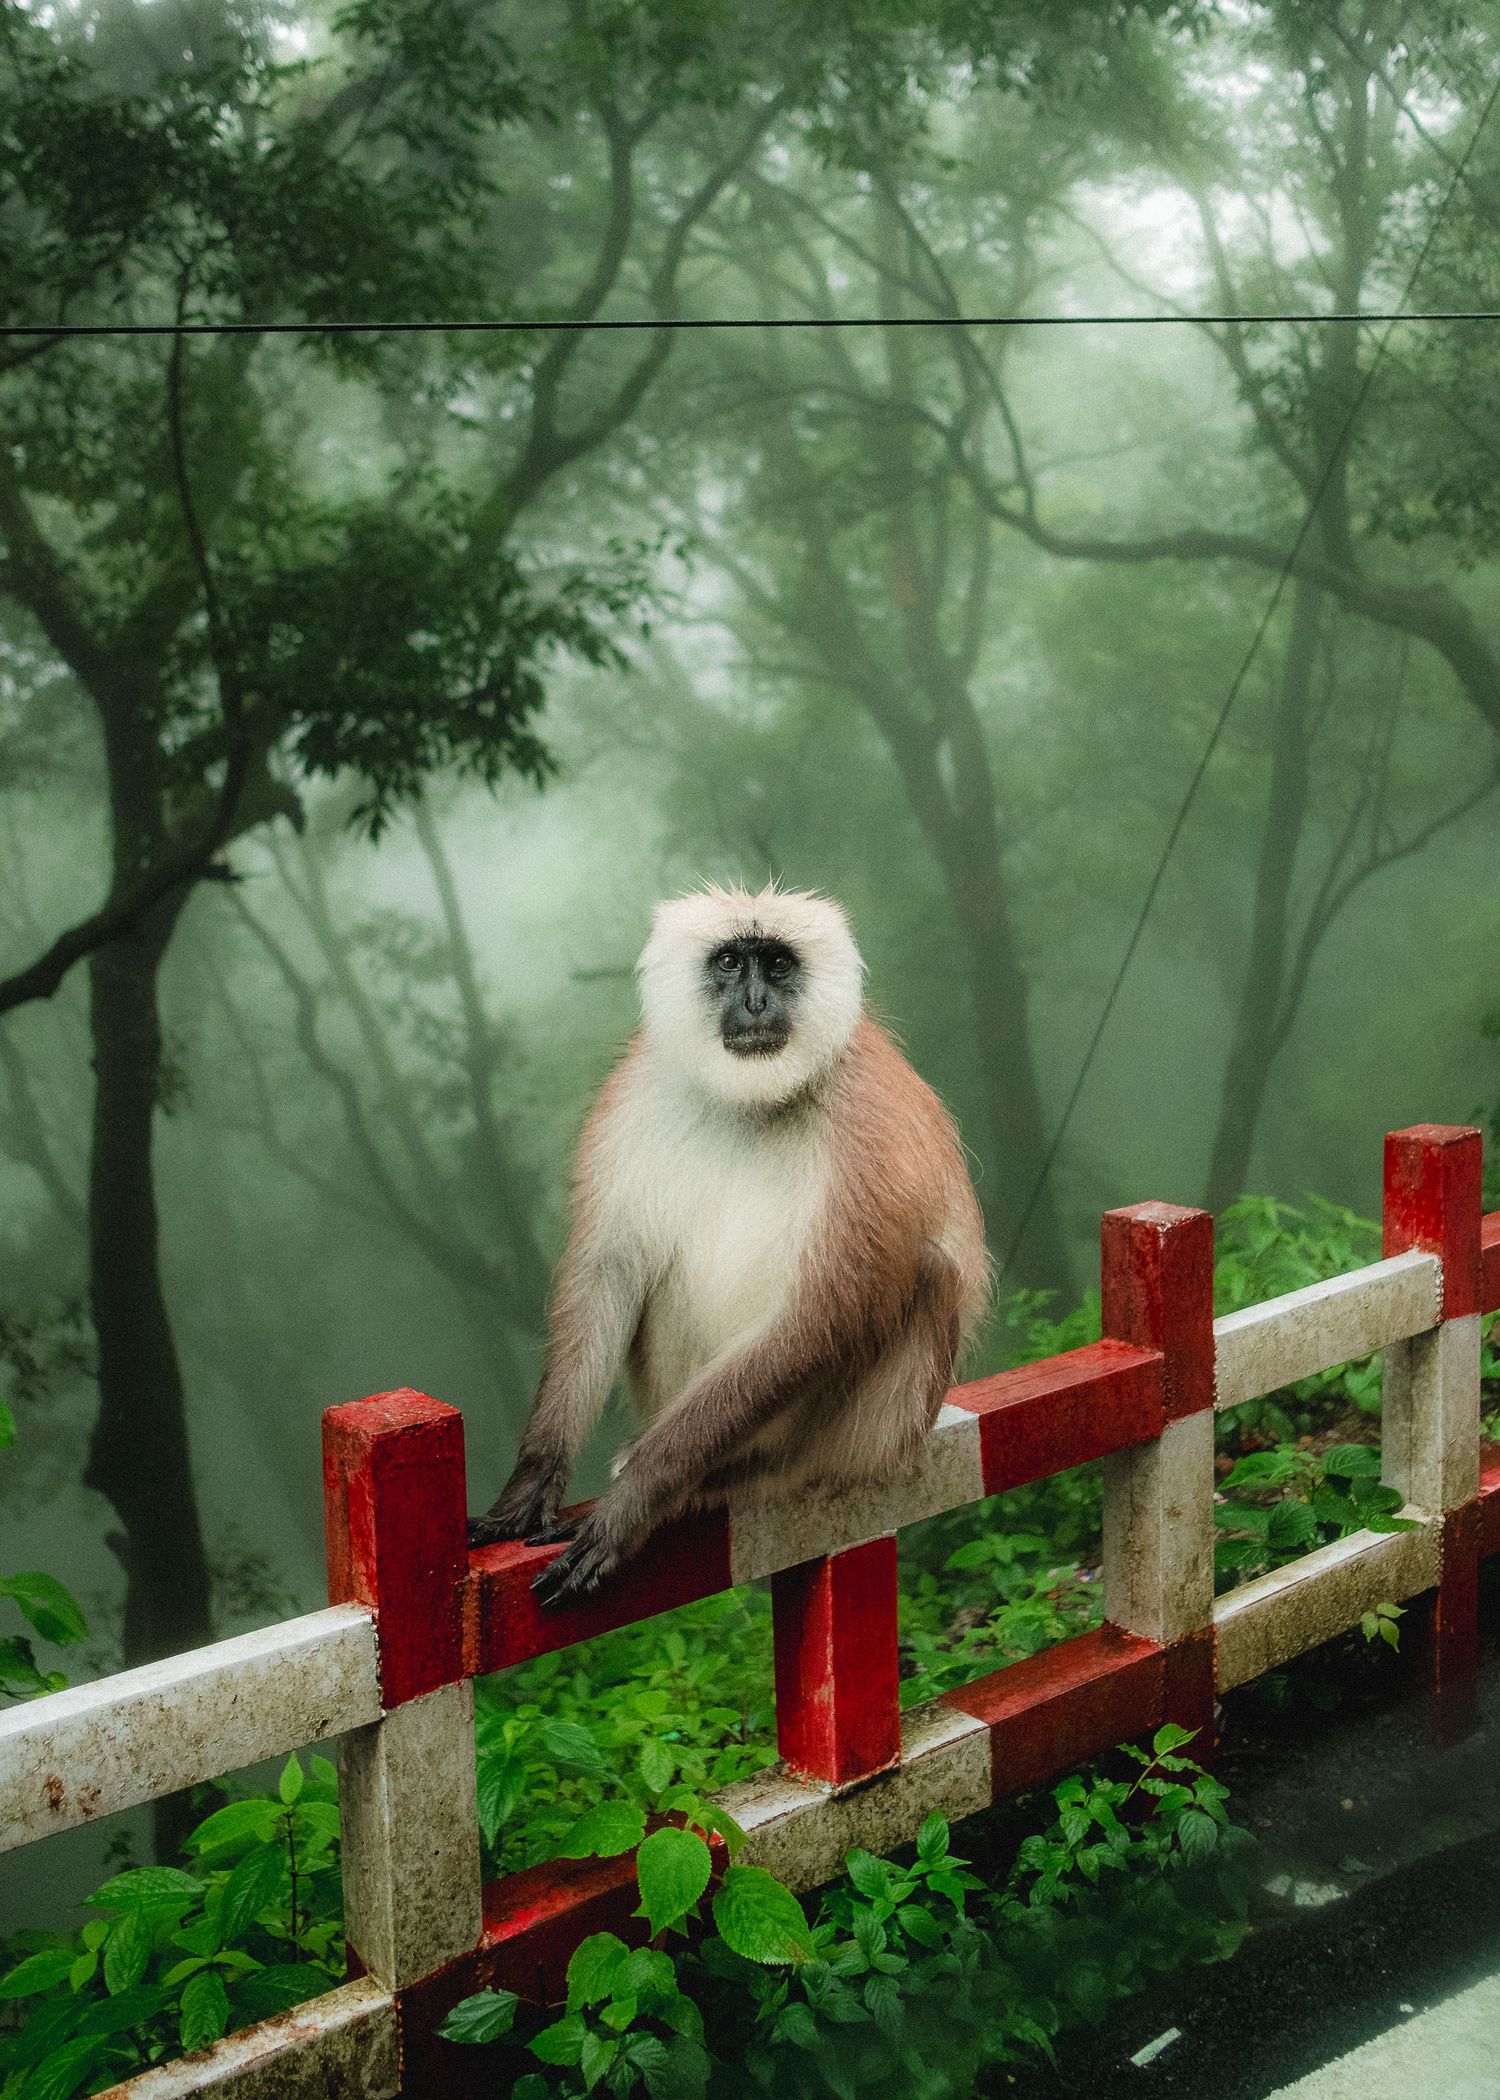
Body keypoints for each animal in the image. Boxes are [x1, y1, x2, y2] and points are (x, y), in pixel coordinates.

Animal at [468, 884, 990, 1607]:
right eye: (729, 962)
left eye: (777, 963)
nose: (755, 1002)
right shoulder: (637, 1090)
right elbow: (609, 1267)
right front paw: (531, 1480)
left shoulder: (864, 1115)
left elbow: (822, 1313)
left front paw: (638, 1495)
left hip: (870, 1435)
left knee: (927, 1271)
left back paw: (727, 1474)